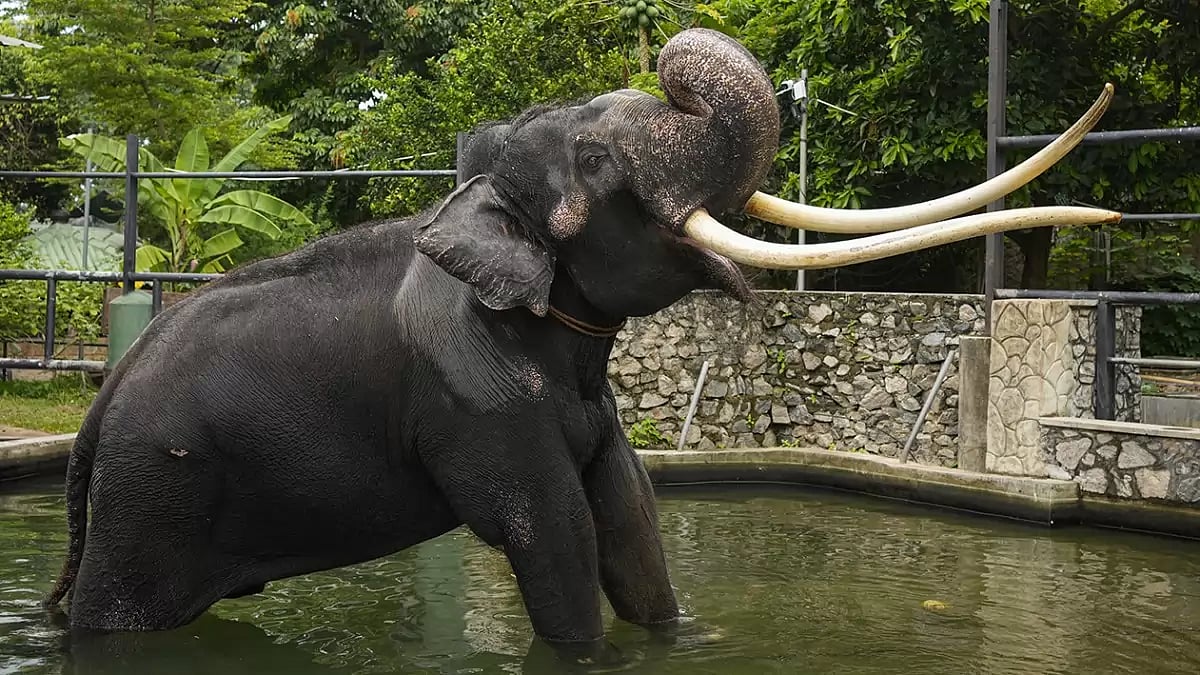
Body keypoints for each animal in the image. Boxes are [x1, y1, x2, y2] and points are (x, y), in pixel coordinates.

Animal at [43, 27, 1120, 654]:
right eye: (599, 159)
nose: (663, 61)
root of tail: (99, 407)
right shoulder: (476, 404)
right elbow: (555, 536)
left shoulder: (592, 412)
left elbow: (633, 523)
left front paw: (678, 639)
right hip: (153, 497)